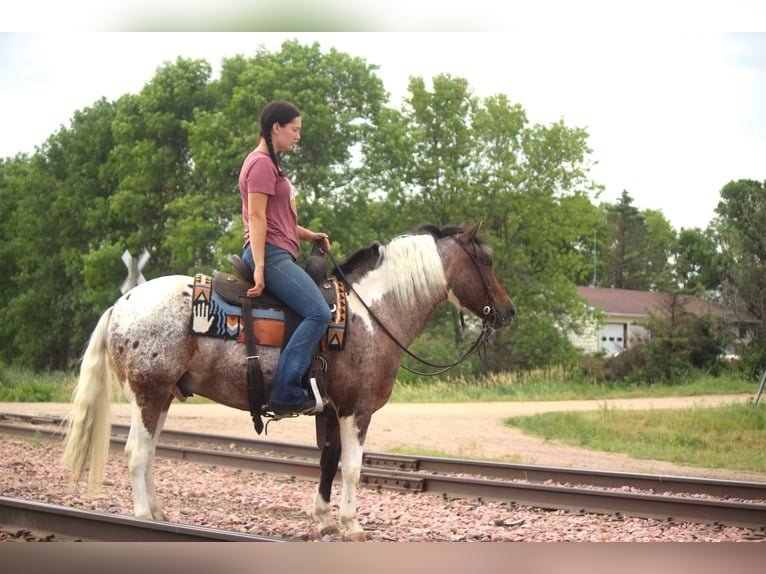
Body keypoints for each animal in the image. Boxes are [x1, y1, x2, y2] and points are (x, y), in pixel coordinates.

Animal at [60, 218, 516, 544]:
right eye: (487, 262)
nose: (508, 311)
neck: (370, 315)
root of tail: (121, 304)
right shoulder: (357, 410)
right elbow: (353, 467)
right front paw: (352, 524)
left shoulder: (330, 410)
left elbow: (329, 462)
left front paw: (325, 522)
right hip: (148, 393)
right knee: (137, 453)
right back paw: (144, 520)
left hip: (164, 397)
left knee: (150, 453)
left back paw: (158, 514)